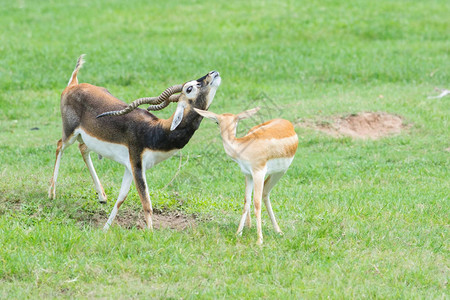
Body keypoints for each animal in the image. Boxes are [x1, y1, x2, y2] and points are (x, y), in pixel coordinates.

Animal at [49, 55, 221, 230]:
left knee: (82, 148)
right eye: (189, 88)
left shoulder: (129, 167)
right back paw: (52, 194)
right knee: (59, 146)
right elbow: (146, 204)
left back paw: (102, 197)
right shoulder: (137, 165)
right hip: (69, 133)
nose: (213, 73)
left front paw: (105, 229)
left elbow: (121, 199)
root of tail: (73, 85)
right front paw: (150, 233)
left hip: (84, 138)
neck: (156, 131)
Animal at [194, 107, 298, 244]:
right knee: (265, 192)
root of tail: (287, 123)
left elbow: (256, 203)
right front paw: (238, 233)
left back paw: (278, 231)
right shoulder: (247, 174)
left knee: (264, 193)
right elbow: (246, 201)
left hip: (280, 172)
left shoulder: (258, 172)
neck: (243, 147)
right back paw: (265, 229)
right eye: (217, 121)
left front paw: (259, 240)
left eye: (236, 121)